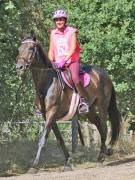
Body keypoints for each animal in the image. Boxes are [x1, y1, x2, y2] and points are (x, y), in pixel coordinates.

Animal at [16, 37, 121, 170]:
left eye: (30, 48)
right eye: (19, 49)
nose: (19, 67)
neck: (47, 83)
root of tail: (105, 74)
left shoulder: (52, 112)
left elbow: (42, 140)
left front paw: (34, 166)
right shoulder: (48, 115)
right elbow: (59, 139)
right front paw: (68, 162)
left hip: (102, 106)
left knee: (104, 128)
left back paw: (102, 156)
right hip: (89, 111)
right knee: (99, 125)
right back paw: (101, 155)